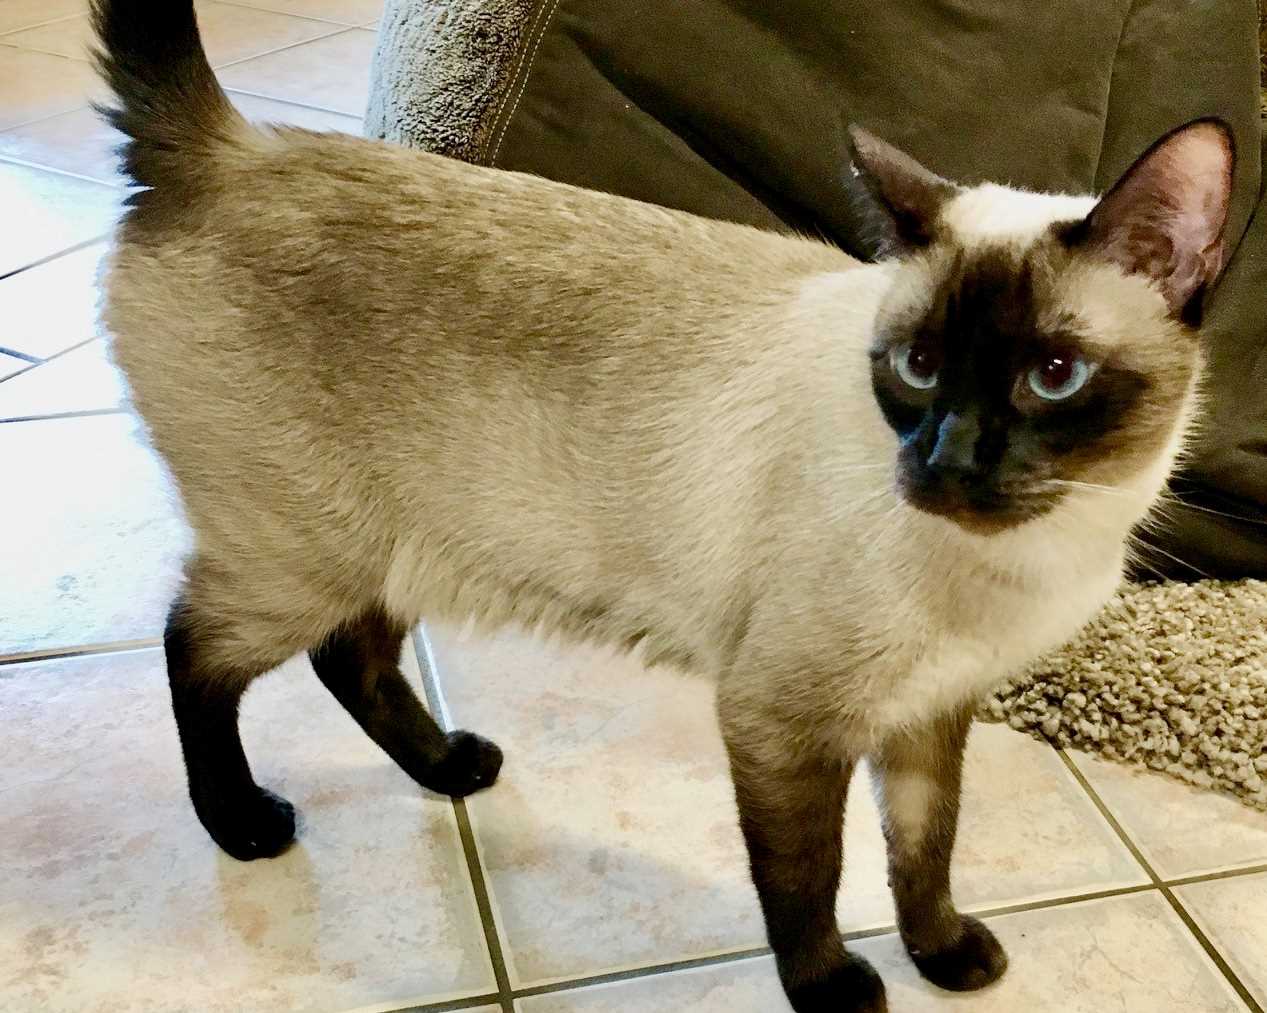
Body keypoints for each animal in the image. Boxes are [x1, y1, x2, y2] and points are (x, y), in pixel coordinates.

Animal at [93, 3, 1231, 1007]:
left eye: (1051, 376)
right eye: (916, 366)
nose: (944, 462)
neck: (1030, 558)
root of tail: (231, 146)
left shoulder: (927, 715)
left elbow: (924, 850)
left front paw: (945, 957)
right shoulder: (781, 720)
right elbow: (808, 879)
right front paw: (833, 990)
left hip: (386, 548)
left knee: (351, 656)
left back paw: (450, 767)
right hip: (300, 560)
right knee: (195, 650)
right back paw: (245, 824)